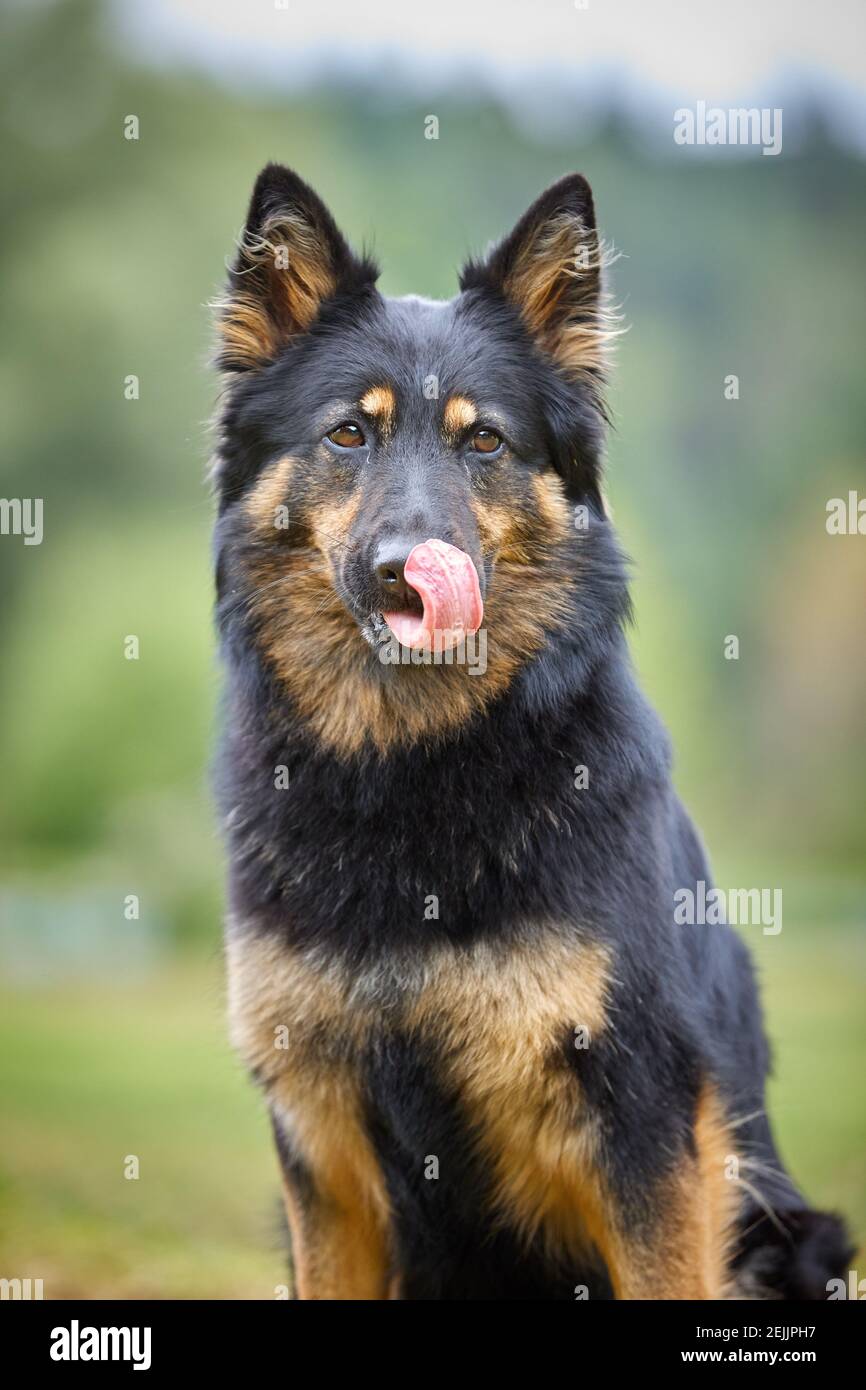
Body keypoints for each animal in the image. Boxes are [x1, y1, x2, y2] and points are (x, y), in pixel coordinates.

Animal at [211, 162, 856, 1301]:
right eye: (348, 434)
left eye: (484, 441)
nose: (406, 573)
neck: (411, 770)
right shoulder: (319, 1153)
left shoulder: (646, 1124)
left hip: (794, 1231)